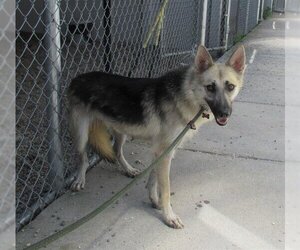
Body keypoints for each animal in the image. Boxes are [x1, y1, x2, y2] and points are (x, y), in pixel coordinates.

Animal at [68, 44, 246, 229]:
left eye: (230, 87)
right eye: (210, 87)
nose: (225, 113)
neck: (187, 94)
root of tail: (78, 77)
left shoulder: (162, 152)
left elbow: (153, 180)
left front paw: (154, 201)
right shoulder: (164, 153)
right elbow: (165, 189)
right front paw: (169, 216)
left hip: (121, 130)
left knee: (117, 151)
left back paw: (128, 169)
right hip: (81, 133)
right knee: (83, 157)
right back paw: (79, 179)